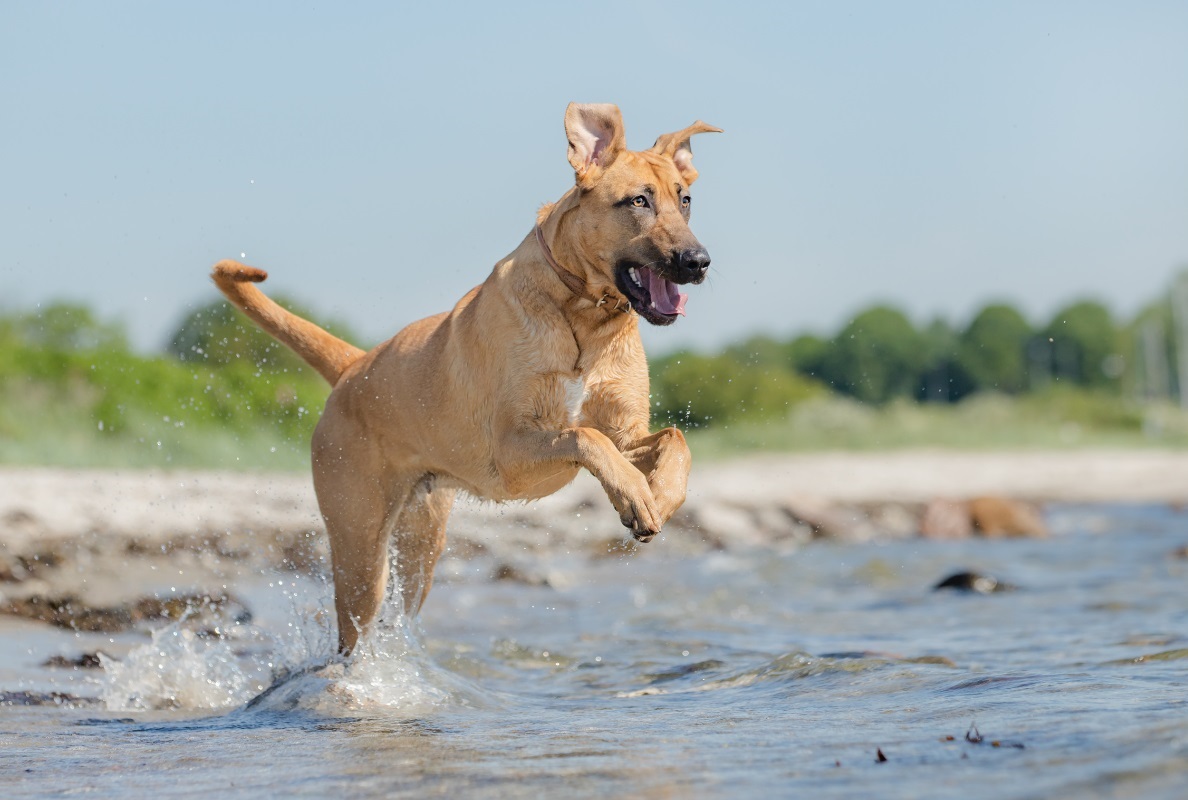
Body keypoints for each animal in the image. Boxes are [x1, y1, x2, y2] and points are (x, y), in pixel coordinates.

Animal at [210, 102, 717, 651]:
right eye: (638, 201)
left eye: (685, 200)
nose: (699, 261)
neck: (583, 315)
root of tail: (353, 366)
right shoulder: (514, 451)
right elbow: (584, 436)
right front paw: (637, 495)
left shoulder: (627, 432)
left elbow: (674, 438)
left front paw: (657, 495)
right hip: (359, 547)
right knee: (355, 629)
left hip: (421, 541)